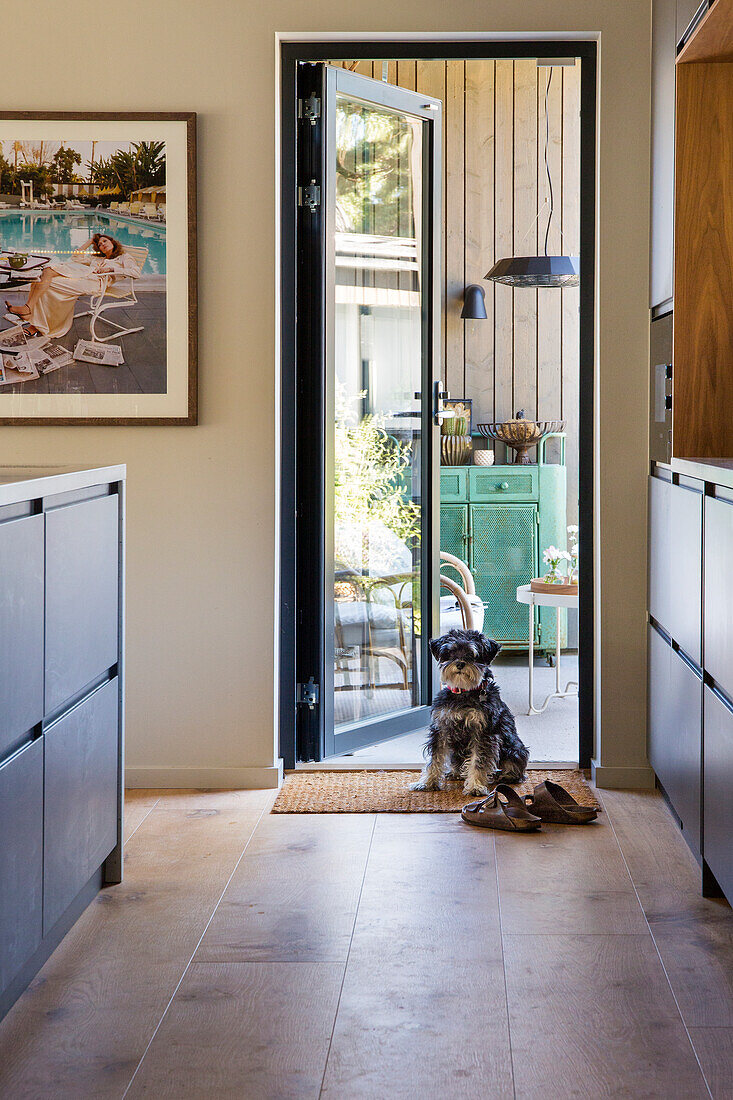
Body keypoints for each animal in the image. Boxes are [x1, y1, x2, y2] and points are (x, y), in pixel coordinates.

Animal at [407, 629, 528, 800]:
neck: (463, 693)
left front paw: (475, 786)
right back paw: (455, 773)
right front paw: (427, 783)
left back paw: (506, 775)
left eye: (472, 653)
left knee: (515, 768)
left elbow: (478, 761)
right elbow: (435, 759)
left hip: (514, 749)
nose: (459, 664)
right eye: (450, 652)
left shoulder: (483, 733)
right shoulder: (441, 729)